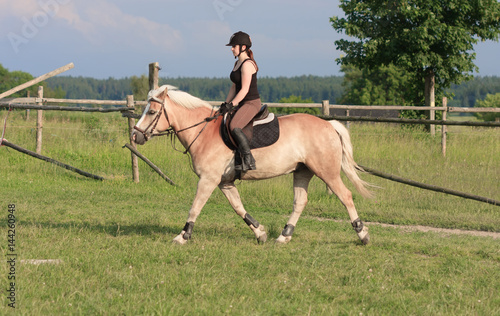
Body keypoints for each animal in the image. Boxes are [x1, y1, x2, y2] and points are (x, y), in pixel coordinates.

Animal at [131, 85, 374, 246]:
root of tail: (329, 125)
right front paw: (260, 233)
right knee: (300, 202)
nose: (135, 136)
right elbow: (238, 207)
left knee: (345, 196)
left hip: (326, 172)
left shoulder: (208, 180)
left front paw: (182, 236)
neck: (204, 131)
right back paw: (284, 236)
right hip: (302, 171)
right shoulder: (224, 182)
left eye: (151, 112)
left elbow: (195, 207)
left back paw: (362, 235)